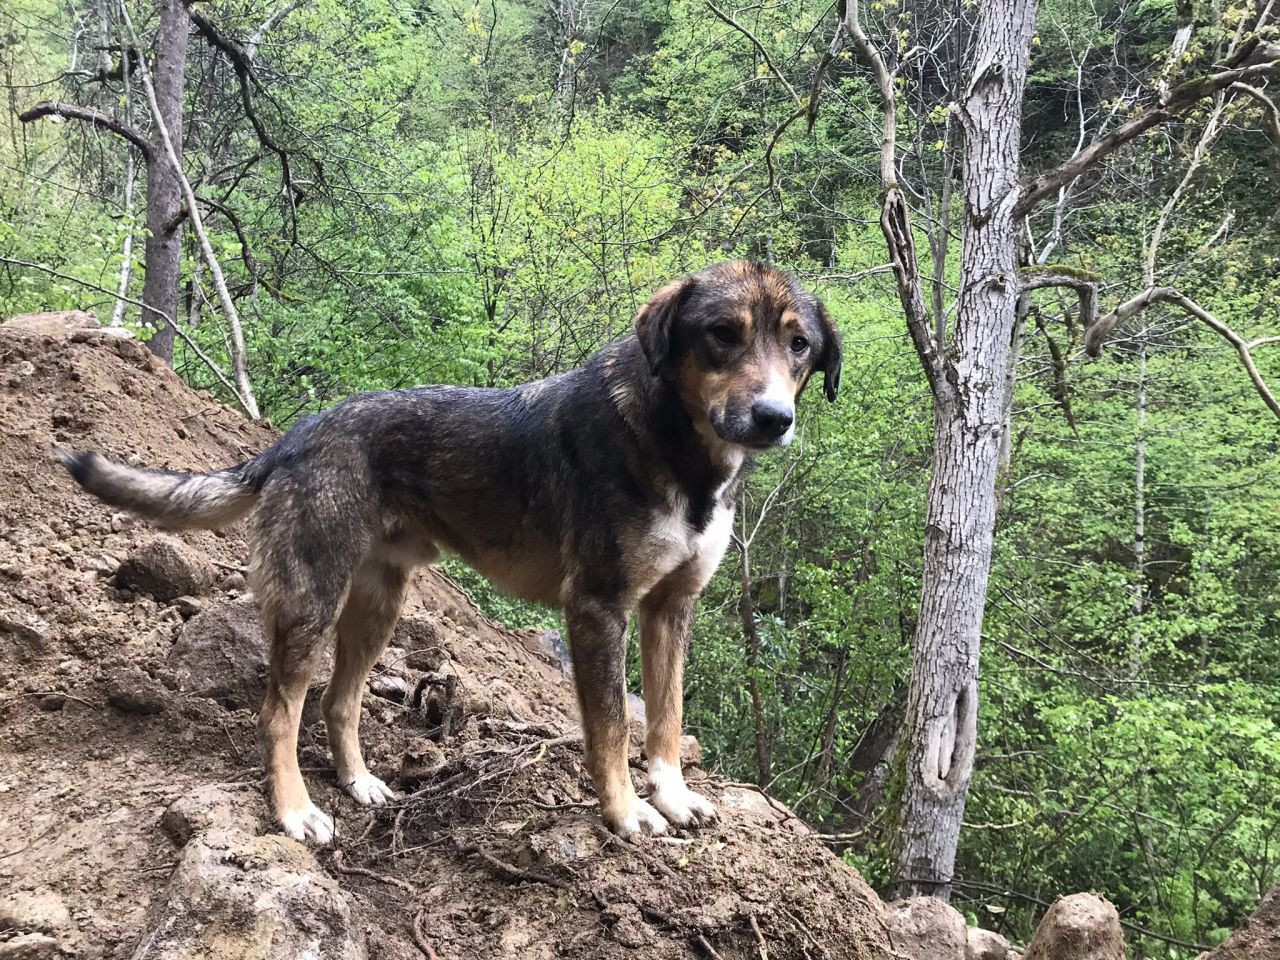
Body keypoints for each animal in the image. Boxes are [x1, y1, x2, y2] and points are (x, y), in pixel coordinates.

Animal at [57, 259, 839, 844]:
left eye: (799, 346)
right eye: (722, 335)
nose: (773, 418)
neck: (682, 451)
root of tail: (293, 437)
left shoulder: (671, 611)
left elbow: (667, 721)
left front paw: (672, 798)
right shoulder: (598, 608)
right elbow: (615, 729)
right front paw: (625, 813)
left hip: (378, 606)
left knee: (339, 702)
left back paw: (359, 782)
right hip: (313, 601)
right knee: (279, 711)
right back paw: (294, 810)